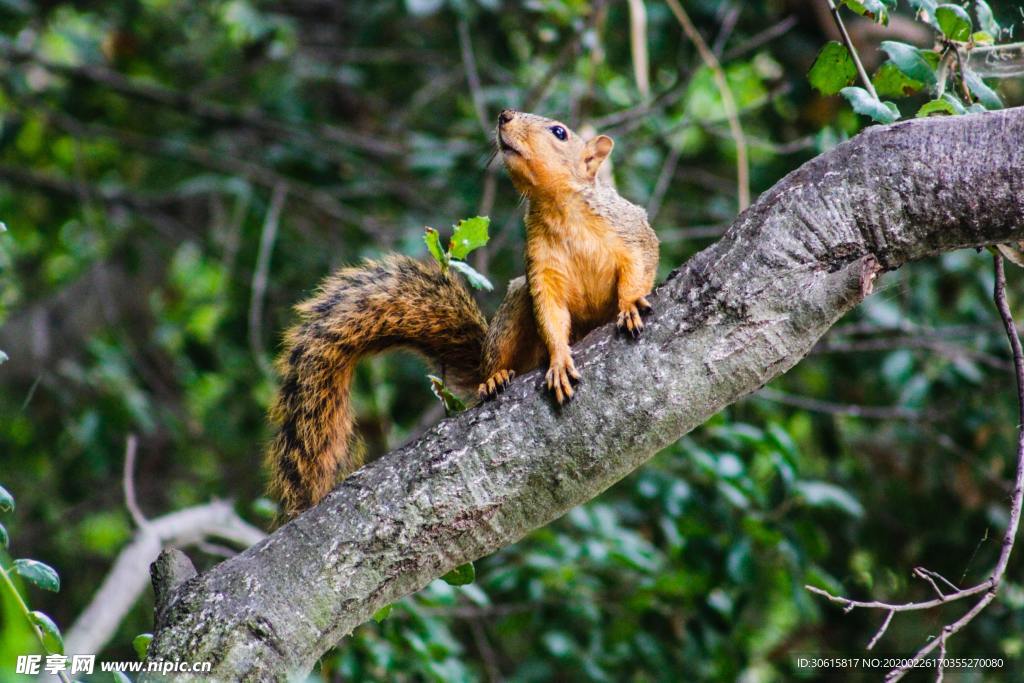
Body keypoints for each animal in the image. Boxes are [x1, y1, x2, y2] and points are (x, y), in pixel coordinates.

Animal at [268, 109, 659, 516]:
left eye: (559, 132)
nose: (504, 115)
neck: (560, 209)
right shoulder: (541, 271)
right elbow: (551, 315)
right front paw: (559, 360)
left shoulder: (630, 229)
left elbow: (639, 267)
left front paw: (630, 306)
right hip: (515, 309)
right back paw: (495, 377)